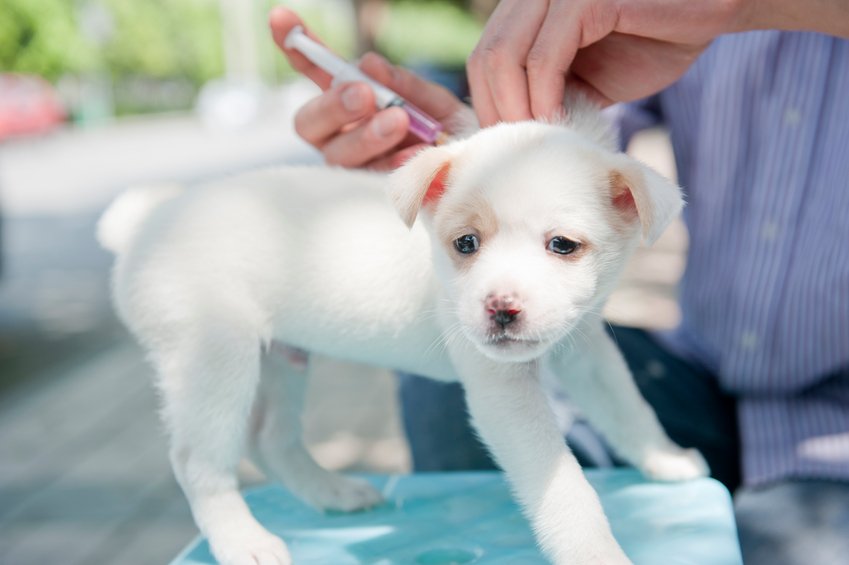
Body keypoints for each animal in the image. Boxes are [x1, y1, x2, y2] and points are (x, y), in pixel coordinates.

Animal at [99, 107, 708, 564]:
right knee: (197, 462)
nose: (500, 310)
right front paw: (597, 554)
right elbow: (566, 488)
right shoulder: (504, 394)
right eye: (465, 243)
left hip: (280, 360)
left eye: (562, 245)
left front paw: (664, 458)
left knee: (271, 440)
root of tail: (147, 225)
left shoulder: (586, 351)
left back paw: (334, 493)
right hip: (213, 358)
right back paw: (243, 542)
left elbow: (628, 408)